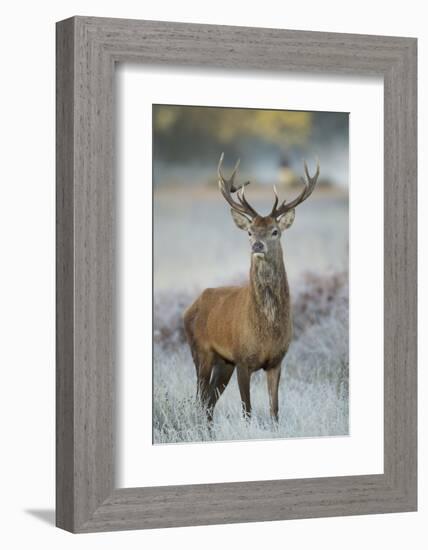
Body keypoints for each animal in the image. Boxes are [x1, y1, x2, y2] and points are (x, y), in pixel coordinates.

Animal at [182, 153, 320, 424]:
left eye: (275, 231)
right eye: (249, 231)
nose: (257, 245)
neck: (266, 331)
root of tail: (191, 306)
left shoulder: (276, 361)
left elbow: (274, 411)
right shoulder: (242, 359)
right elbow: (247, 410)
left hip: (224, 363)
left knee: (209, 402)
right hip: (200, 351)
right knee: (200, 399)